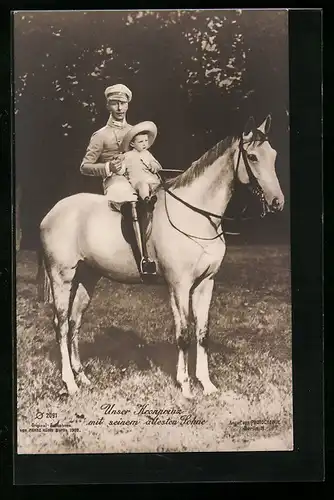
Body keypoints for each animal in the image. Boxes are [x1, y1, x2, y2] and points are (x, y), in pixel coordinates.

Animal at [38, 116, 284, 398]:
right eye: (252, 156)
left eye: (273, 155)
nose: (278, 202)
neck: (195, 214)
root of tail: (52, 213)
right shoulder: (179, 285)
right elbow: (183, 333)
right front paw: (185, 386)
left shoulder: (205, 283)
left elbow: (202, 332)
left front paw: (207, 384)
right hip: (62, 277)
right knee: (61, 324)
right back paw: (70, 383)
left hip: (87, 278)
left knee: (74, 322)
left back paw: (83, 377)